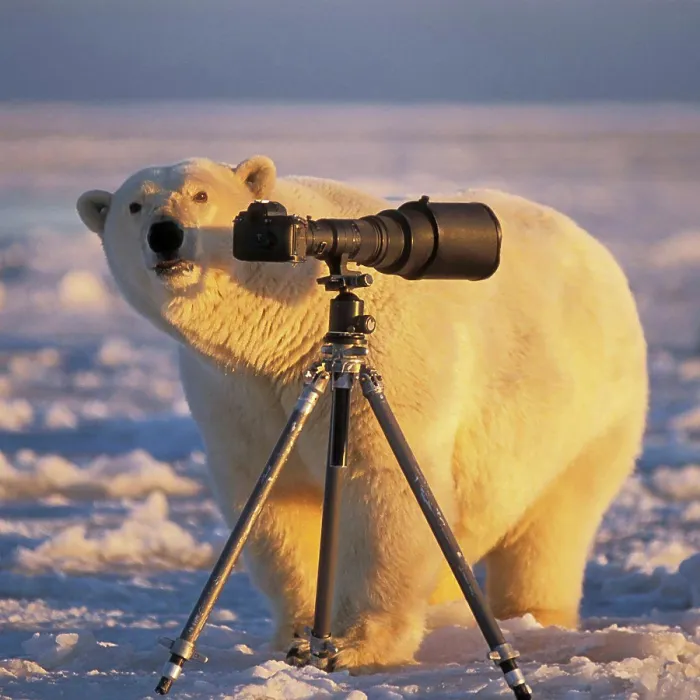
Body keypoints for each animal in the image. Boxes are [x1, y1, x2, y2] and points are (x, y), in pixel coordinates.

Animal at [77, 155, 648, 672]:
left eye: (200, 195)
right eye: (134, 205)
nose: (165, 234)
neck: (288, 324)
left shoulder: (395, 360)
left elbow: (386, 490)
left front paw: (357, 645)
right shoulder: (235, 394)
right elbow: (273, 498)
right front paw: (294, 636)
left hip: (590, 416)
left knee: (552, 526)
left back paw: (534, 617)